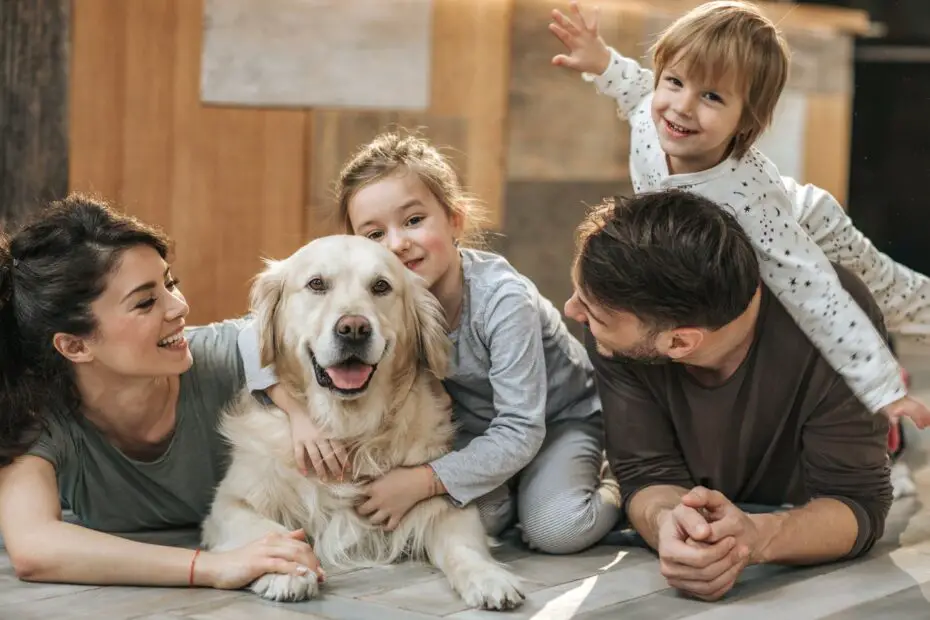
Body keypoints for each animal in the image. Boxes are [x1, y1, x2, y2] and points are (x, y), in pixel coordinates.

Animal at [200, 237, 524, 612]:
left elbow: (463, 545)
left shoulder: (443, 502)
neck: (348, 429)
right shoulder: (229, 503)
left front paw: (489, 578)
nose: (353, 328)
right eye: (316, 284)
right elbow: (268, 530)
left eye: (380, 286)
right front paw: (286, 569)